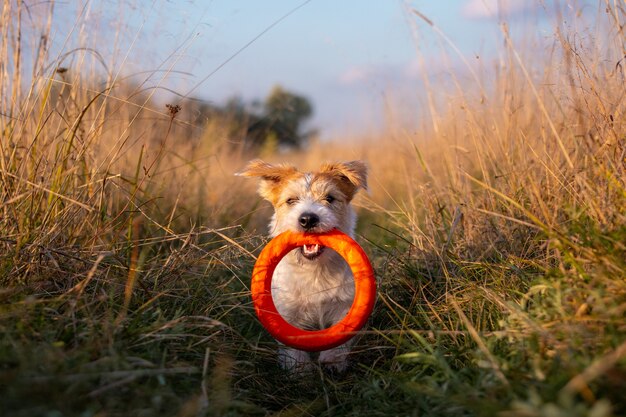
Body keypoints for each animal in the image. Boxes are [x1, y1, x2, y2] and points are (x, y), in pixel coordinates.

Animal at [238, 158, 366, 370]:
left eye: (329, 198)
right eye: (291, 200)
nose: (308, 219)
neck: (314, 270)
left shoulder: (344, 305)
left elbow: (340, 337)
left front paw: (332, 361)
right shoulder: (288, 312)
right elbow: (293, 348)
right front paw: (299, 371)